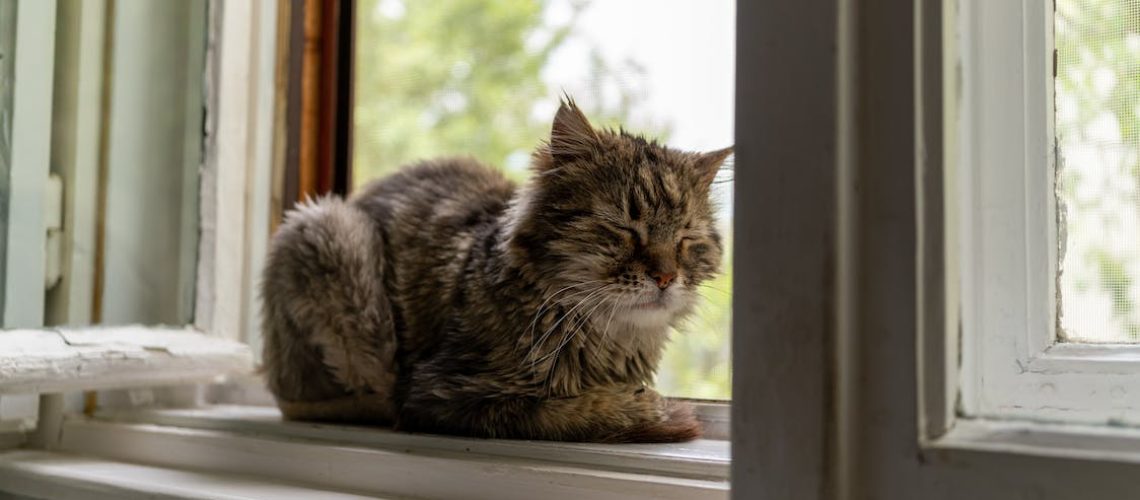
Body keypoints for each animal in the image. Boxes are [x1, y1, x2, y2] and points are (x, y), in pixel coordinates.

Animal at [258, 97, 729, 441]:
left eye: (687, 241)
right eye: (624, 230)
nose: (666, 278)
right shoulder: (442, 393)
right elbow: (572, 411)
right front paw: (660, 413)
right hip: (324, 233)